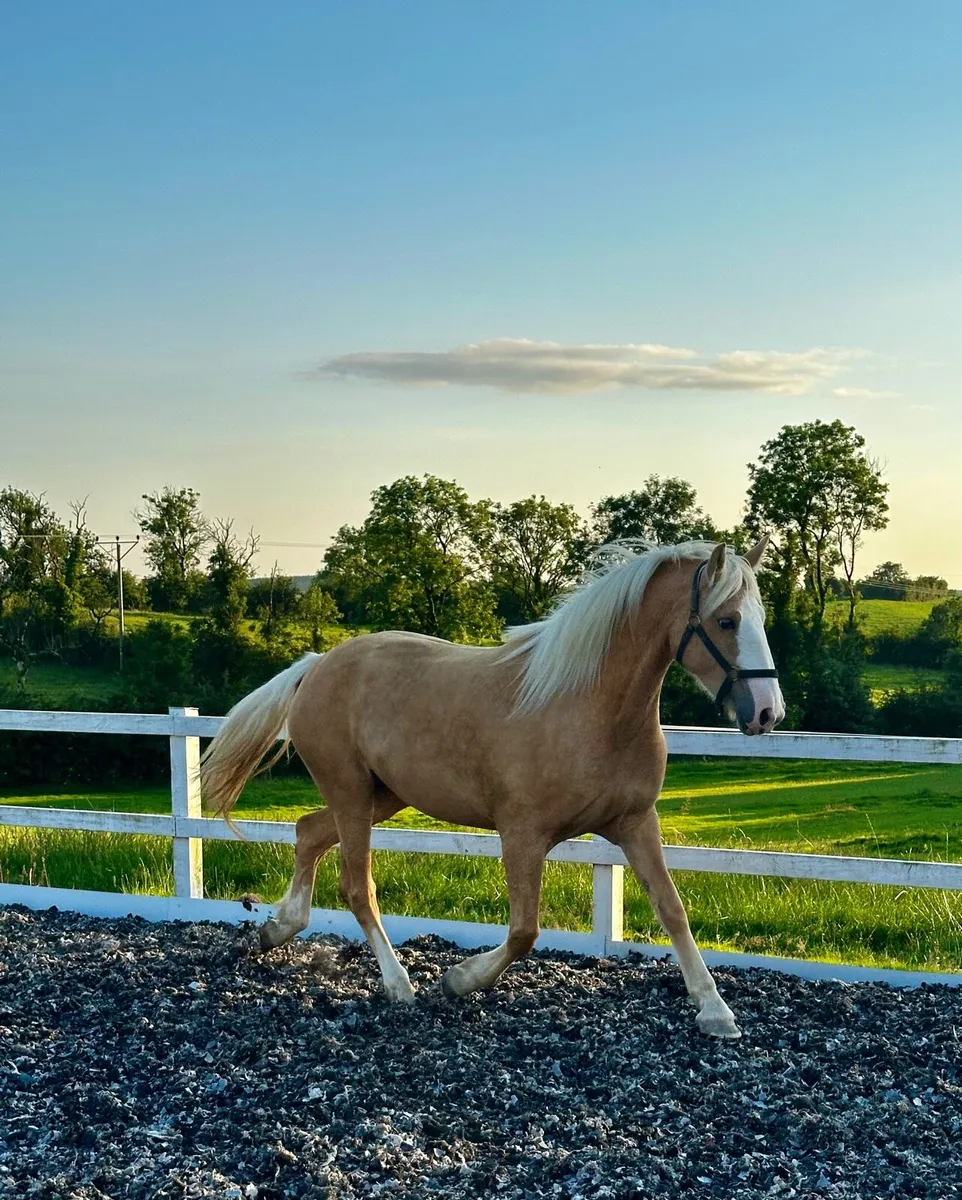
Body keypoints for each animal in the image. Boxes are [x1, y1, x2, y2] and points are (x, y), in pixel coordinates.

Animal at [200, 538, 784, 1039]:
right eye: (726, 620)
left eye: (759, 619)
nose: (768, 713)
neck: (589, 707)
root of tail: (318, 664)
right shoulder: (522, 835)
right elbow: (524, 932)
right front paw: (459, 980)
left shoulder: (636, 823)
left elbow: (672, 910)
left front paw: (715, 1010)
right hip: (350, 793)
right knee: (356, 886)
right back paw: (398, 983)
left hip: (380, 796)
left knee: (308, 833)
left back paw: (276, 929)